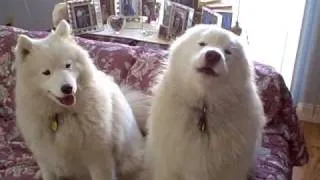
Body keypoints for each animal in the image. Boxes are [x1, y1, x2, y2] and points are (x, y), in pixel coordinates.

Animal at [14, 20, 150, 180]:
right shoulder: (47, 160)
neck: (63, 115)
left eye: (68, 65)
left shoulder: (99, 160)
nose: (67, 88)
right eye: (46, 72)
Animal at [146, 24, 266, 180]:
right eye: (202, 43)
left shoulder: (231, 171)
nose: (213, 55)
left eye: (228, 52)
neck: (204, 109)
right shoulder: (169, 166)